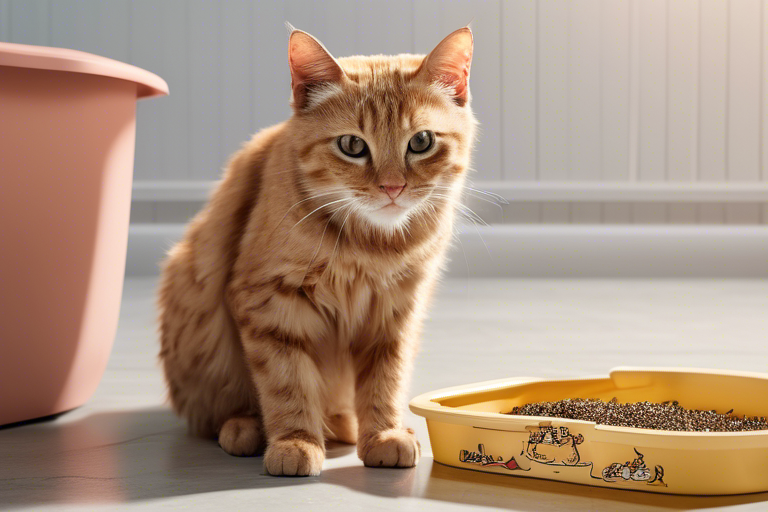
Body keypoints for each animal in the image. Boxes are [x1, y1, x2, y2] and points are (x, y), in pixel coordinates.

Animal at [156, 27, 474, 476]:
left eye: (422, 141)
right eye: (352, 145)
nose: (392, 187)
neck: (371, 246)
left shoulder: (396, 314)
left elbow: (386, 382)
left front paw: (384, 434)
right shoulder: (269, 305)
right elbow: (287, 382)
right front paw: (295, 442)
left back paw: (344, 425)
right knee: (213, 414)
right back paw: (247, 429)